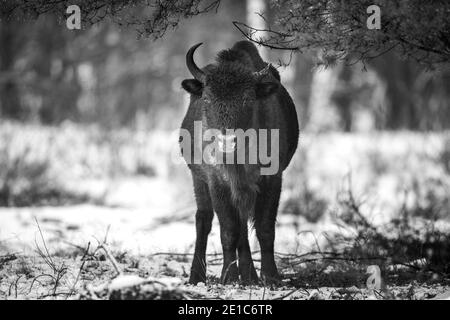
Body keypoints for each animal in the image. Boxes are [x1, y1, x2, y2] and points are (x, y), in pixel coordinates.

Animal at [179, 40, 298, 284]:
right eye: (207, 98)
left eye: (248, 98)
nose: (227, 141)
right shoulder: (217, 182)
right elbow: (228, 230)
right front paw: (229, 277)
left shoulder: (271, 178)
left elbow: (264, 228)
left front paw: (270, 277)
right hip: (198, 179)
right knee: (204, 220)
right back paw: (197, 276)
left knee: (242, 225)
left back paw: (250, 275)